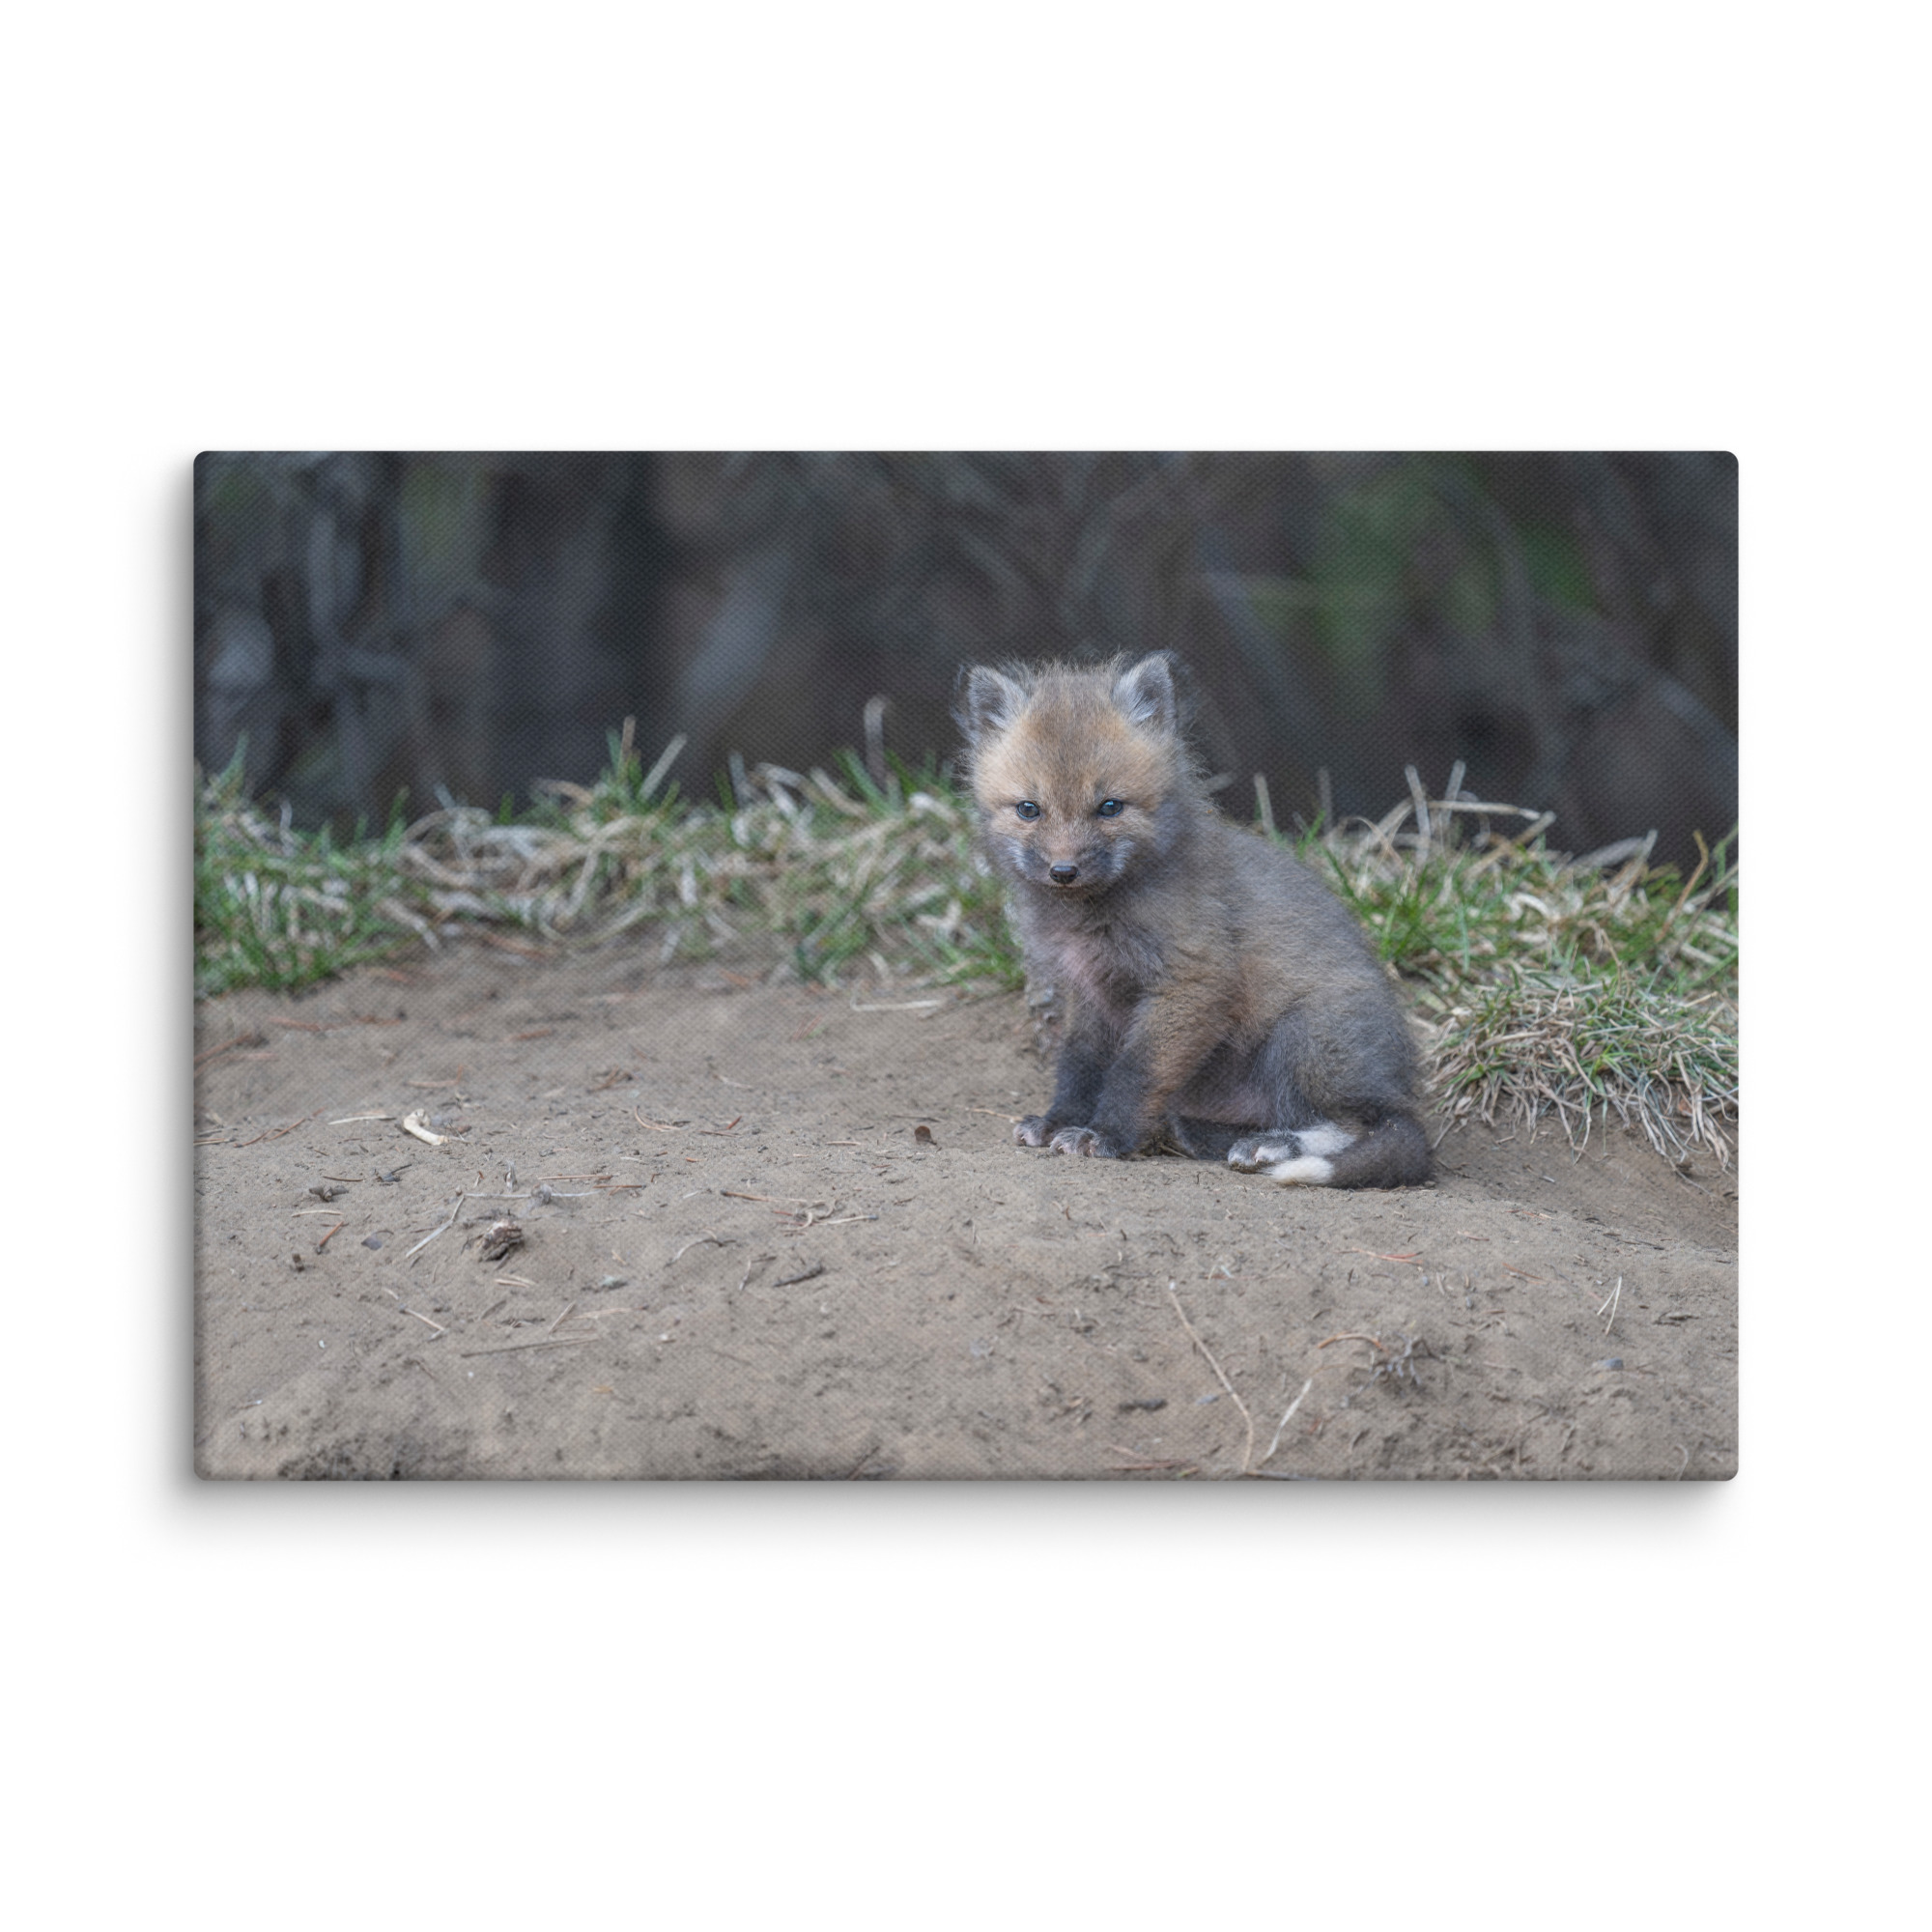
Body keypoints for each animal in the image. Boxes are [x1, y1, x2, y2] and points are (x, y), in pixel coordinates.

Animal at [955, 650, 1430, 1189]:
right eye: (1029, 809)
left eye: (1109, 807)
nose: (1063, 871)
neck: (1093, 918)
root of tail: (1399, 1085)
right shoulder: (1089, 992)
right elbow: (1079, 1066)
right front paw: (1060, 1121)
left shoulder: (1192, 981)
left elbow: (1134, 1072)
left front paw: (1106, 1136)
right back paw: (1206, 1134)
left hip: (1304, 1038)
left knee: (1367, 1126)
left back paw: (1272, 1146)